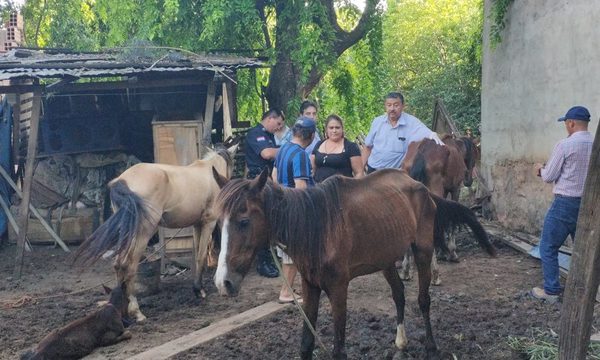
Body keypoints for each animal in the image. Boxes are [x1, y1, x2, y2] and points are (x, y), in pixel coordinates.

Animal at [77, 142, 239, 322]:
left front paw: (197, 289)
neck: (209, 173)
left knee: (118, 265)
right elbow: (201, 257)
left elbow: (198, 255)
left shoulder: (197, 225)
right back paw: (137, 312)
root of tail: (123, 181)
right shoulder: (208, 223)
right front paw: (200, 290)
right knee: (128, 265)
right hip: (143, 233)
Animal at [213, 169, 494, 360]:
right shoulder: (310, 286)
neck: (316, 227)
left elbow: (339, 350)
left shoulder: (339, 289)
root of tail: (421, 187)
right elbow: (306, 345)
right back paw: (401, 343)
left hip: (423, 251)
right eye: (218, 223)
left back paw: (431, 347)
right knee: (399, 295)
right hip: (386, 259)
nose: (223, 282)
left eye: (244, 221)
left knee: (423, 300)